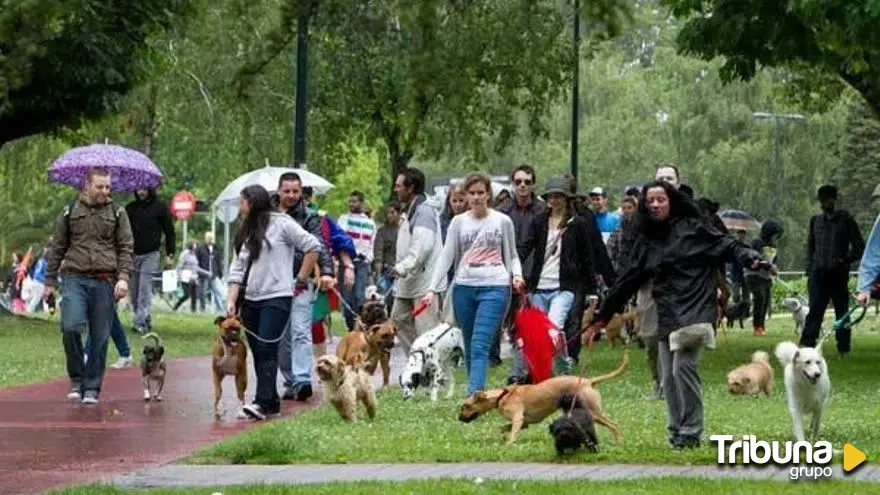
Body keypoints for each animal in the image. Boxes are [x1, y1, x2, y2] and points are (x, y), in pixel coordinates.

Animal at [458, 348, 628, 446]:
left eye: (466, 406)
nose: (459, 418)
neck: (502, 395)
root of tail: (588, 381)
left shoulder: (518, 419)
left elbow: (512, 431)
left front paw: (509, 443)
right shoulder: (525, 423)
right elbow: (503, 428)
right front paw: (503, 436)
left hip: (593, 412)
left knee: (614, 425)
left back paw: (619, 442)